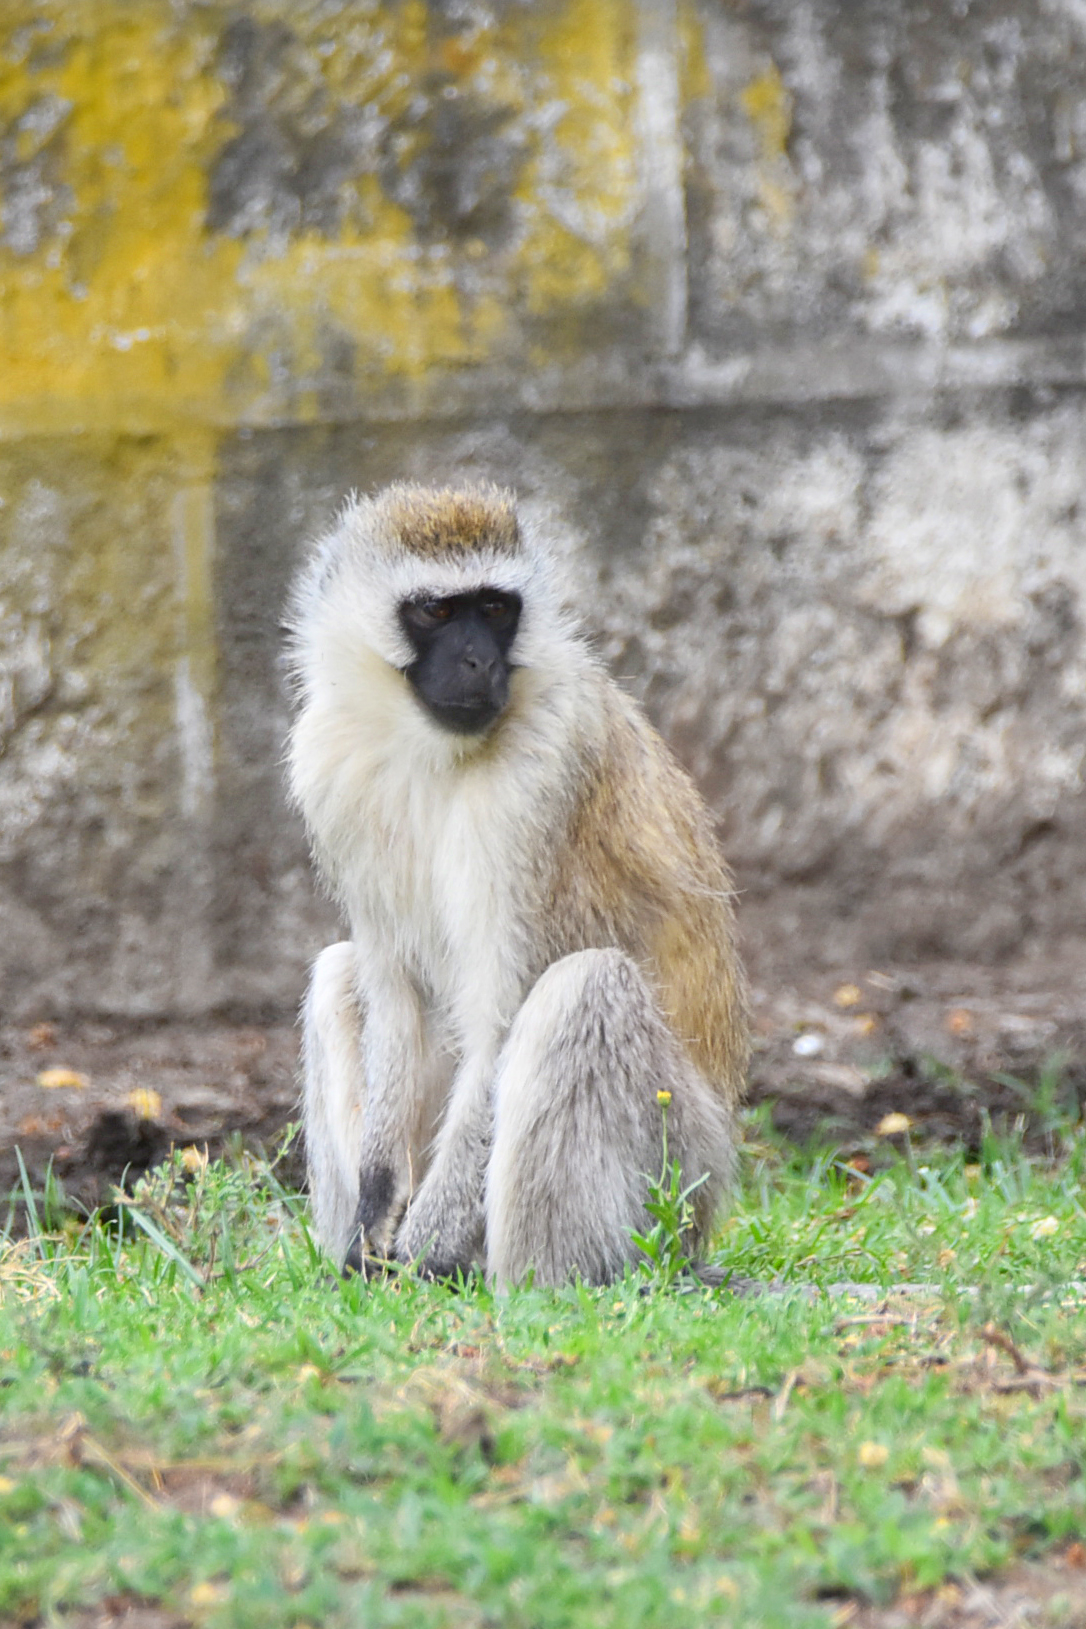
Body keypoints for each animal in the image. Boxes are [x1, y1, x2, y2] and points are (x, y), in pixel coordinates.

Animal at [286, 482, 748, 1283]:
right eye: (439, 612)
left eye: (497, 608)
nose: (477, 663)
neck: (425, 747)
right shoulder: (324, 763)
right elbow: (390, 988)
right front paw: (376, 1212)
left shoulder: (542, 773)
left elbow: (499, 1016)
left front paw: (422, 1246)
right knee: (340, 969)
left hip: (677, 1181)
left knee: (585, 987)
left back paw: (529, 1288)